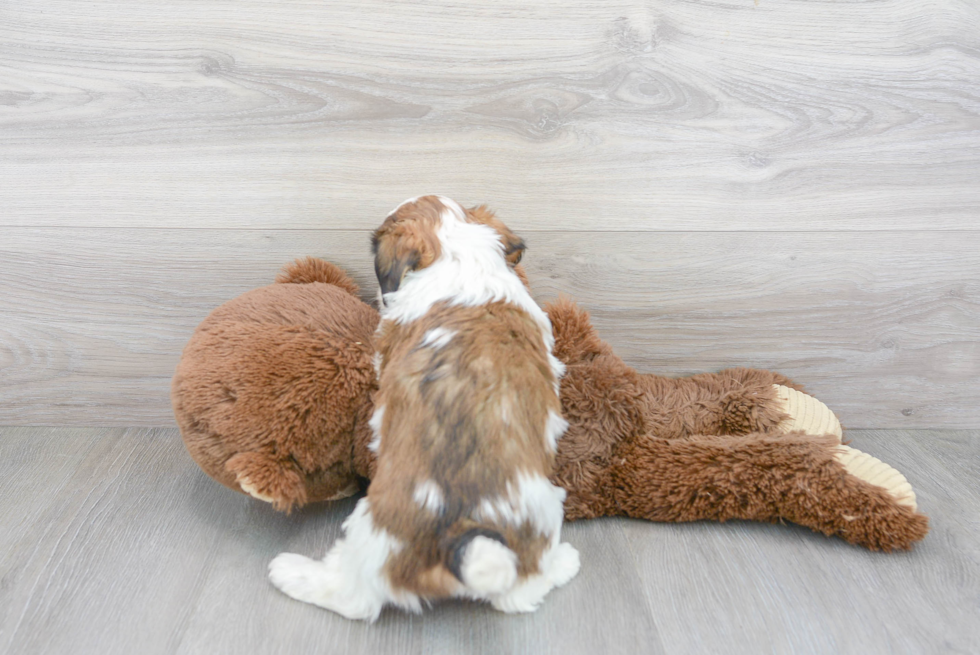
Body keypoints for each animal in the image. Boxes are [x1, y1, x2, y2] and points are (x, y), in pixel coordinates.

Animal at [268, 195, 580, 620]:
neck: (461, 260)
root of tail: (463, 528)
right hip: (545, 510)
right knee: (519, 592)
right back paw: (563, 563)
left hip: (371, 532)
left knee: (353, 596)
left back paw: (291, 572)